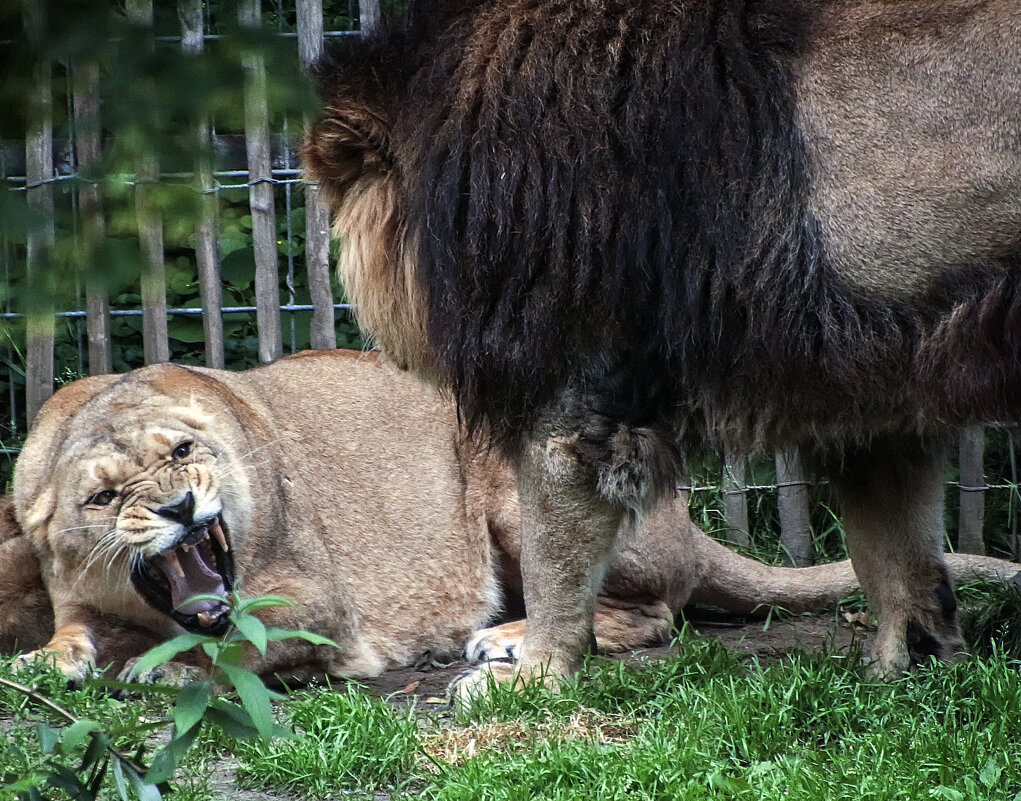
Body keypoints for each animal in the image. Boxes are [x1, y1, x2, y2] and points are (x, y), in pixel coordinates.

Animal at [7, 351, 1012, 681]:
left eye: (184, 452)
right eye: (103, 497)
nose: (180, 505)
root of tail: (689, 523)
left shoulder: (317, 602)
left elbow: (226, 647)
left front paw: (161, 668)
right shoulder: (79, 590)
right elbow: (71, 631)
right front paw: (49, 660)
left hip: (517, 480)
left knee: (644, 614)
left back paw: (507, 637)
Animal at [304, 0, 1021, 685]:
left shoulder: (572, 386)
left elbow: (552, 560)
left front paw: (536, 675)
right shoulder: (873, 392)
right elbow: (895, 553)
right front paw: (906, 669)